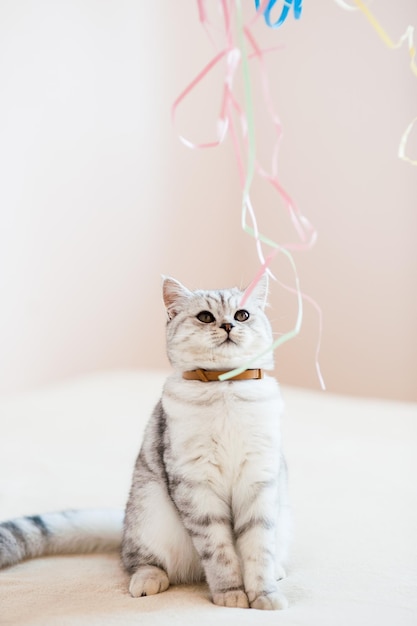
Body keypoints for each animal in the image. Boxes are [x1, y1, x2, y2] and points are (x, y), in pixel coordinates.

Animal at [0, 276, 290, 608]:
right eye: (205, 317)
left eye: (242, 315)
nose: (228, 325)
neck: (224, 387)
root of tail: (123, 525)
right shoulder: (196, 485)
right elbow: (219, 553)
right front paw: (230, 594)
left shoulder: (259, 480)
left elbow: (257, 550)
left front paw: (265, 596)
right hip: (149, 513)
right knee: (137, 560)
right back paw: (148, 581)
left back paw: (278, 570)